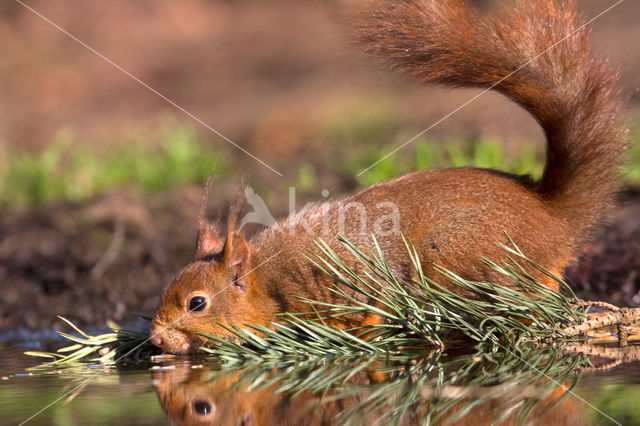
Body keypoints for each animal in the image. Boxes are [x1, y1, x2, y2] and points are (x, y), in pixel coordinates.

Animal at [150, 0, 624, 352]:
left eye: (197, 304)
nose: (156, 340)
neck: (269, 283)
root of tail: (553, 219)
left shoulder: (341, 291)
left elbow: (366, 313)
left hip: (460, 255)